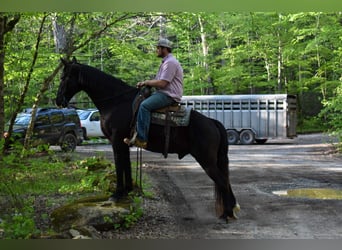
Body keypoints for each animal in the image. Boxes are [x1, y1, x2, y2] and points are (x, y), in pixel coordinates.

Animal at [55, 57, 238, 220]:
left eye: (64, 77)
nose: (58, 100)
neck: (116, 102)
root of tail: (213, 122)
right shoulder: (124, 143)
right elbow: (126, 166)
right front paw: (128, 191)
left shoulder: (116, 141)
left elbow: (119, 165)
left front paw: (116, 194)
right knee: (225, 181)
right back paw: (230, 211)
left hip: (207, 160)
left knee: (222, 182)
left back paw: (226, 214)